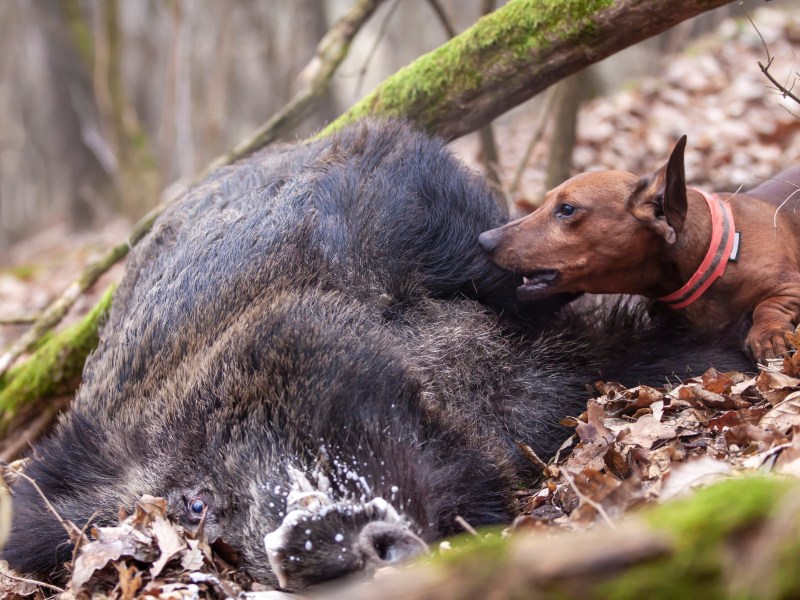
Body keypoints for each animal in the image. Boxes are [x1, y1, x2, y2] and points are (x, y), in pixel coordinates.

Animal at [478, 138, 800, 364]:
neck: (716, 256)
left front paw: (768, 334)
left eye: (567, 209)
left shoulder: (789, 286)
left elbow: (769, 305)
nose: (483, 240)